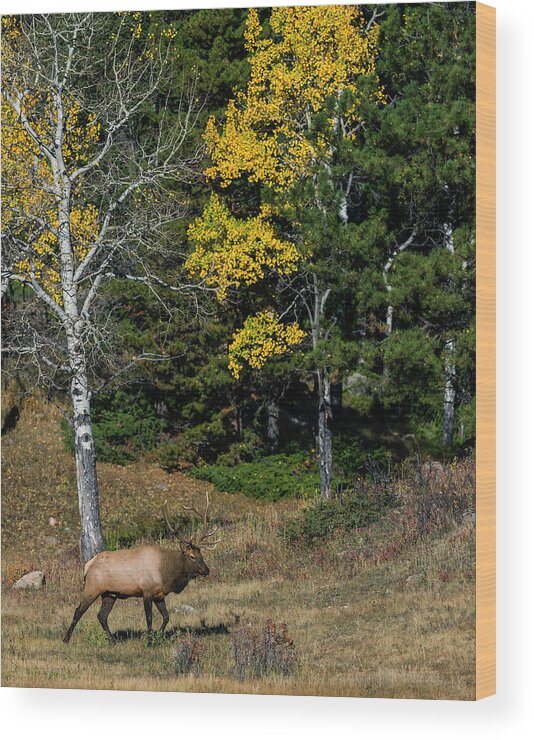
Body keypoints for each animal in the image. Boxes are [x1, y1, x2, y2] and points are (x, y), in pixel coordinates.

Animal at [63, 492, 220, 640]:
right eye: (192, 556)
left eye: (201, 554)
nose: (206, 570)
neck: (167, 574)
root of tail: (87, 566)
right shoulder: (146, 591)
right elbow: (149, 619)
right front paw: (149, 640)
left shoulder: (159, 595)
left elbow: (166, 617)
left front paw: (159, 634)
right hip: (92, 588)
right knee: (78, 611)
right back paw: (66, 639)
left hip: (109, 594)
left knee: (101, 615)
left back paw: (112, 639)